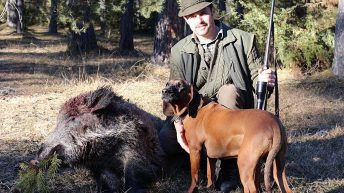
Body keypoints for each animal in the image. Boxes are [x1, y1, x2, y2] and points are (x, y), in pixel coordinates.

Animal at [163, 79, 292, 193]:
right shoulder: (211, 156)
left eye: (180, 85)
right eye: (167, 84)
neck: (194, 109)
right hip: (277, 167)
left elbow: (194, 176)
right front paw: (210, 188)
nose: (164, 91)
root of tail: (274, 123)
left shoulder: (195, 150)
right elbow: (210, 174)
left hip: (244, 164)